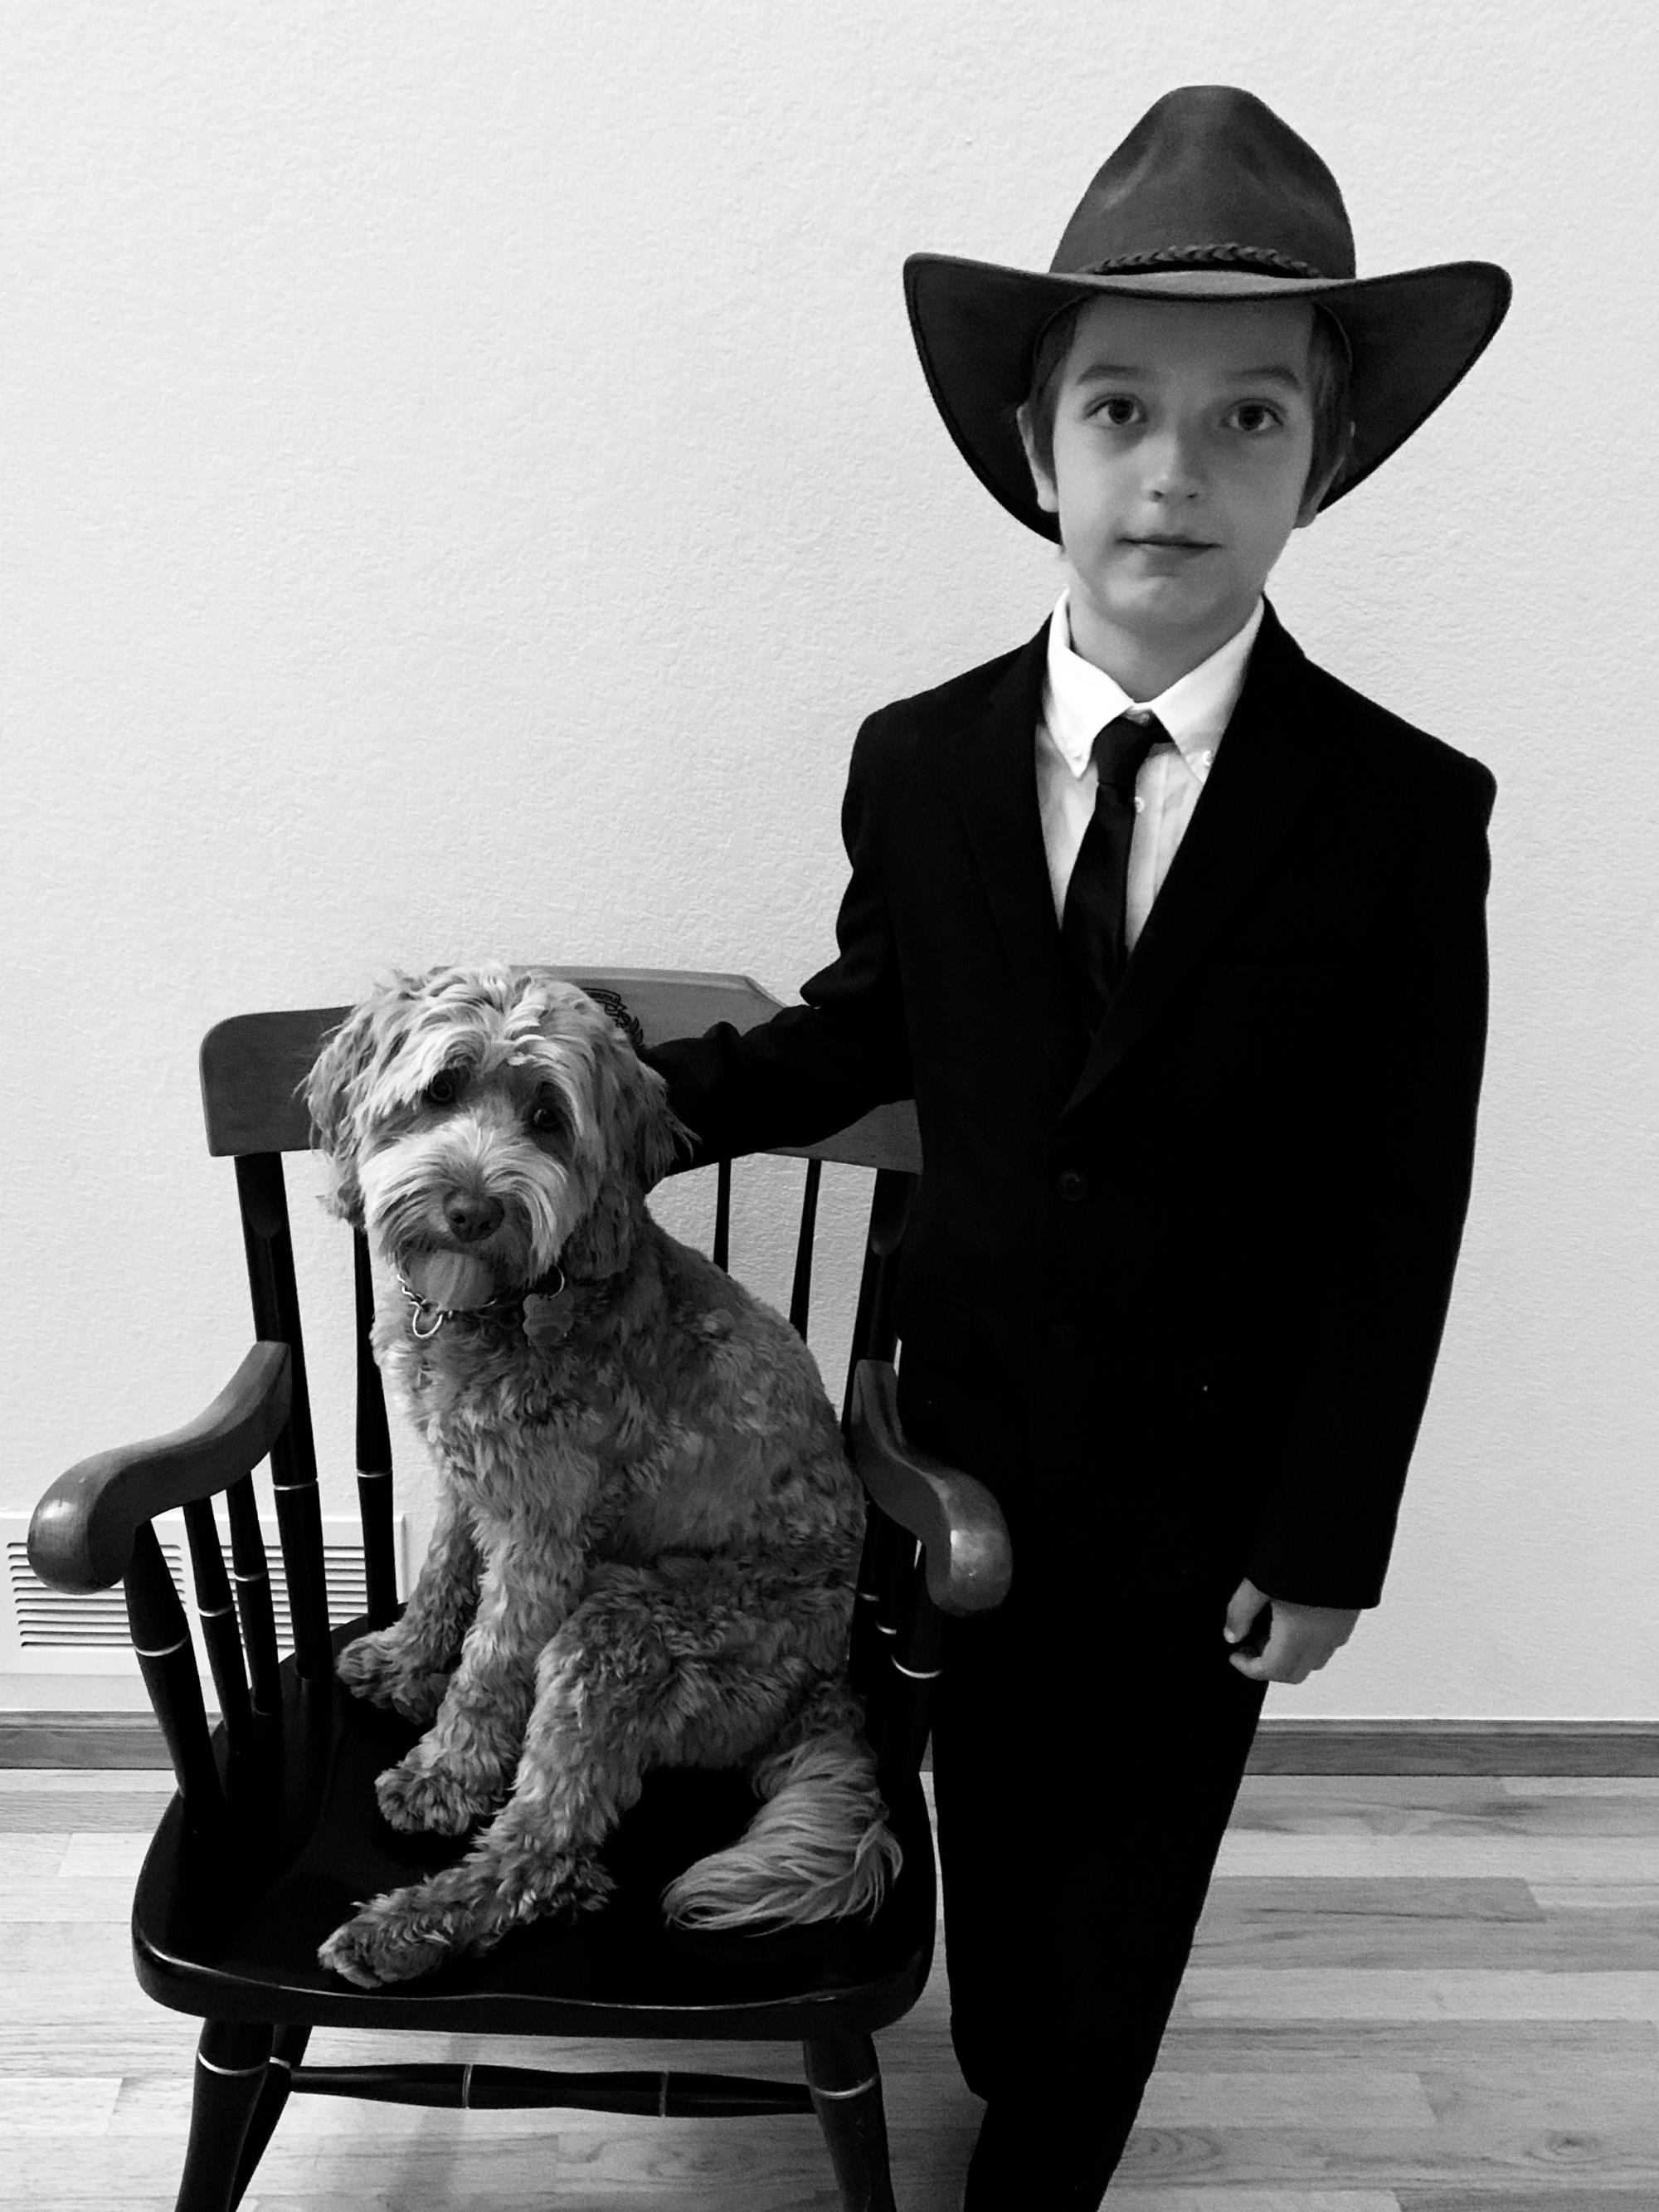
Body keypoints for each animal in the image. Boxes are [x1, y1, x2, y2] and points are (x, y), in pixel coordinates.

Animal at [305, 968, 902, 1990]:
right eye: (441, 1088)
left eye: (548, 1117)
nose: (472, 1210)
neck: (516, 1300)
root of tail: (833, 1680)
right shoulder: (471, 1481)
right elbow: (440, 1578)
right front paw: (404, 1659)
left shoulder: (543, 1530)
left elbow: (491, 1661)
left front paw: (446, 1772)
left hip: (628, 1630)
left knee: (547, 1849)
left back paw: (406, 1925)